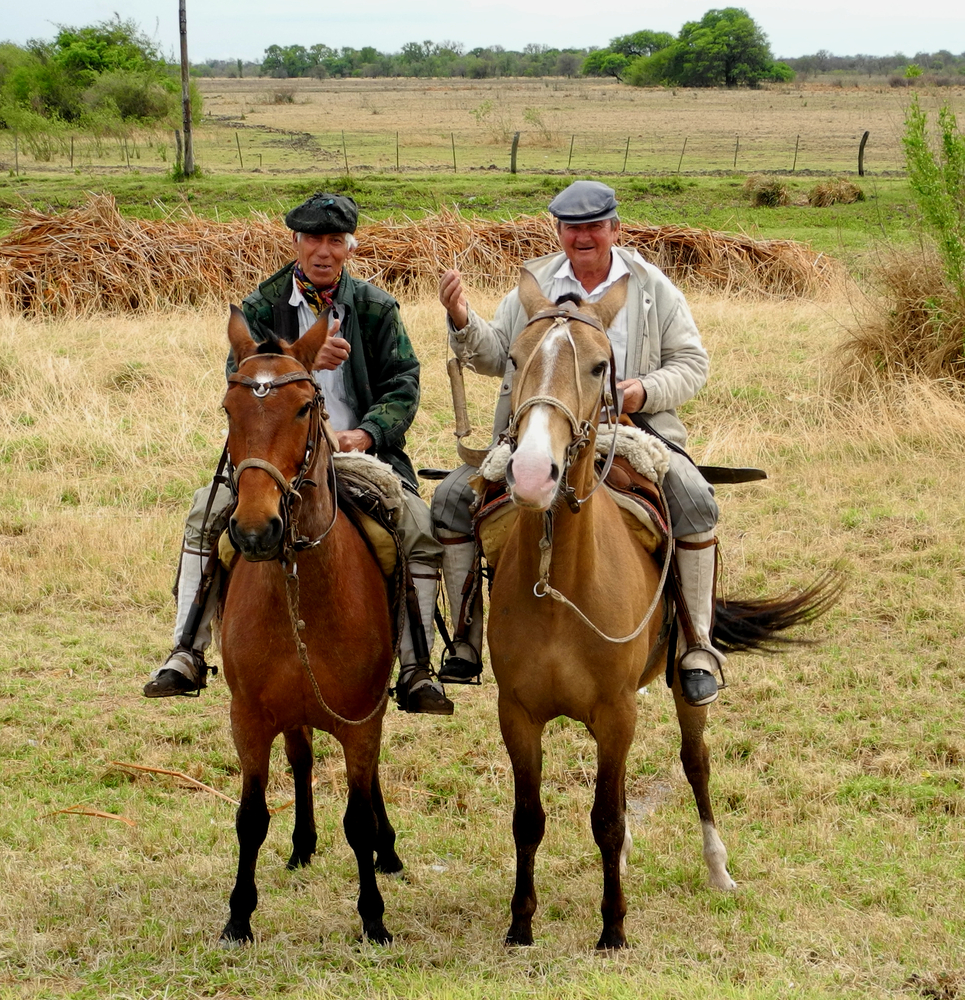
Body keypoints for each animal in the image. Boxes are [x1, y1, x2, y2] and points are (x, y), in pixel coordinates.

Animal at [217, 304, 402, 944]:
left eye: (304, 408)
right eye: (229, 408)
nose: (255, 530)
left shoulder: (361, 720)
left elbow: (359, 818)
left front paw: (373, 917)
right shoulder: (249, 719)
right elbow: (250, 818)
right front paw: (239, 916)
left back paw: (387, 852)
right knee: (299, 761)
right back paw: (302, 843)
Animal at [486, 268, 840, 952]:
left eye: (600, 366)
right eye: (514, 359)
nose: (533, 472)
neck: (560, 584)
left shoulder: (616, 712)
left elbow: (606, 817)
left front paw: (613, 928)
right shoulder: (517, 715)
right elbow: (527, 819)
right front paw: (520, 923)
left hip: (681, 680)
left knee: (694, 764)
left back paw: (718, 869)